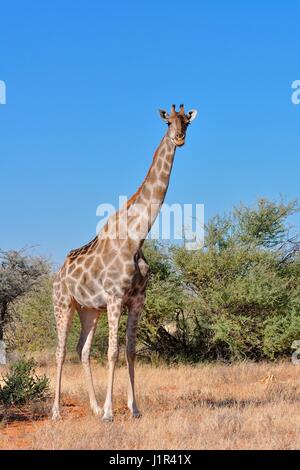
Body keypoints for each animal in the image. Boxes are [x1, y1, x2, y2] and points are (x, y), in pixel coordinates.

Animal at [51, 104, 197, 420]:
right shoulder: (115, 297)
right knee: (60, 350)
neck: (137, 238)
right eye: (168, 122)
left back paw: (93, 407)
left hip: (89, 310)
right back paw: (57, 411)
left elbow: (130, 350)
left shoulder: (138, 299)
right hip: (63, 303)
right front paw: (110, 412)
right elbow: (113, 352)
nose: (179, 138)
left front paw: (134, 408)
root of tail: (57, 274)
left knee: (82, 349)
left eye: (187, 122)